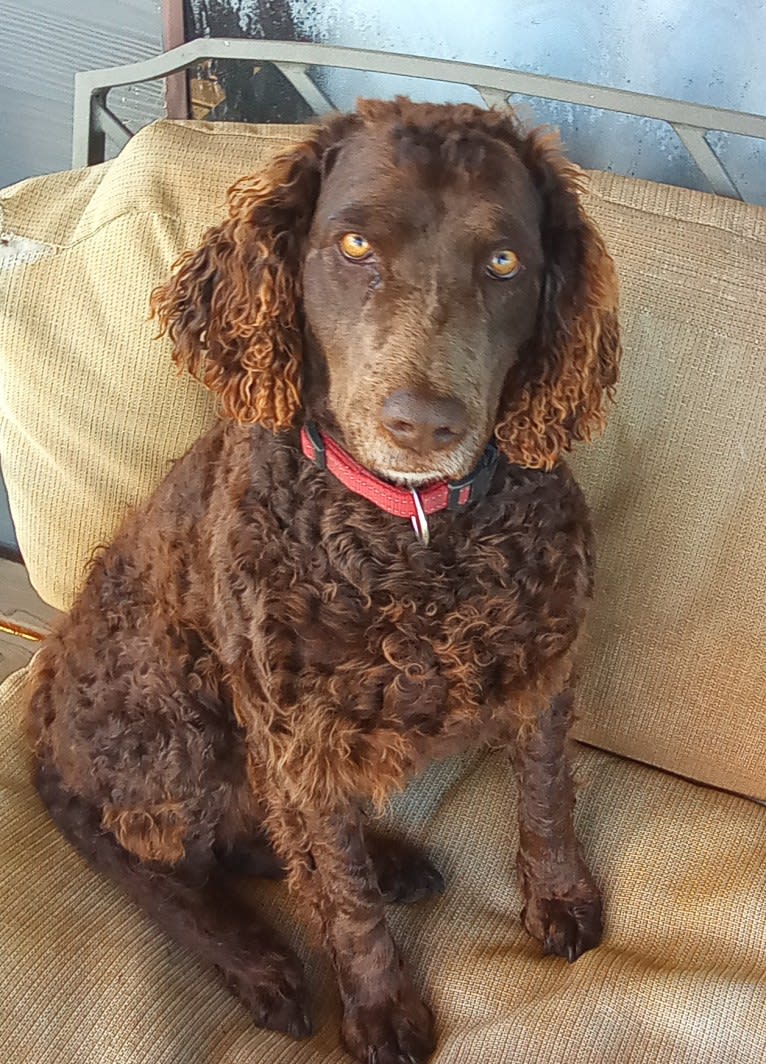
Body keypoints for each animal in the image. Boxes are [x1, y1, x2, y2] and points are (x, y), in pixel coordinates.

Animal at [26, 100, 621, 1064]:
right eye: (353, 246)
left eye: (504, 262)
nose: (423, 422)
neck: (412, 537)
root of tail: (41, 731)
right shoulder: (295, 734)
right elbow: (341, 901)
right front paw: (380, 1011)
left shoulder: (542, 674)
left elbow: (546, 800)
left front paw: (559, 897)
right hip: (169, 704)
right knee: (159, 858)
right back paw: (258, 958)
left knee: (252, 836)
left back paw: (386, 860)